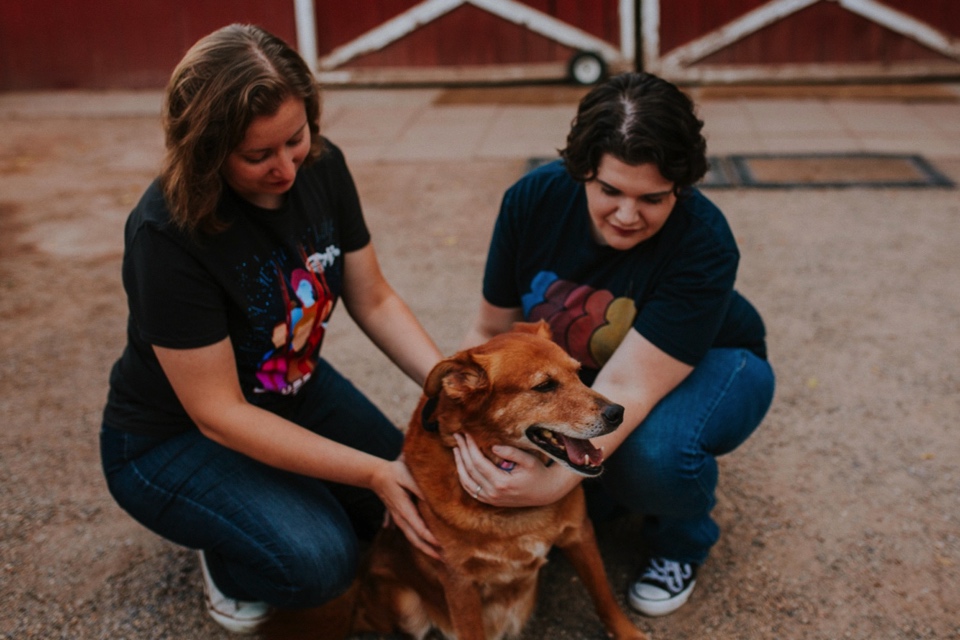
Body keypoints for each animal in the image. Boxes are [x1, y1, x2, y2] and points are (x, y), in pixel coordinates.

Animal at [266, 324, 648, 640]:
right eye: (544, 386)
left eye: (579, 374)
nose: (618, 413)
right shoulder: (459, 582)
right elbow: (471, 630)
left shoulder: (580, 534)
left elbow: (604, 596)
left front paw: (628, 633)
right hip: (406, 605)